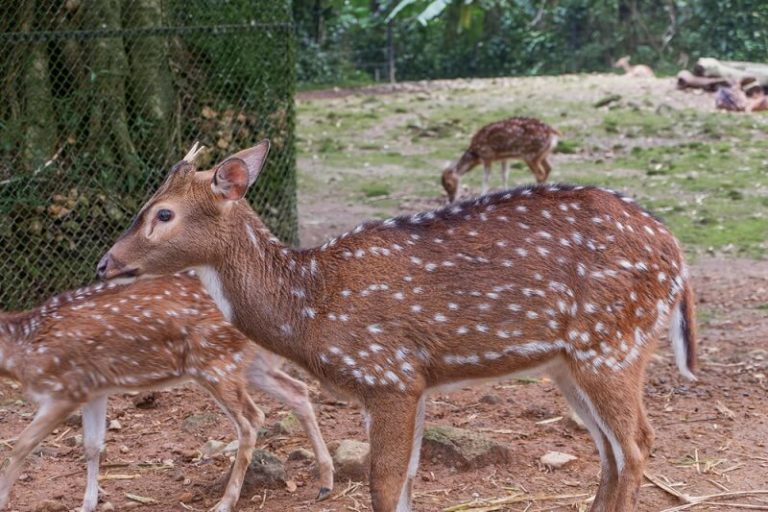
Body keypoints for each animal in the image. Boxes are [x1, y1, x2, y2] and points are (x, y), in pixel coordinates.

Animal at [0, 273, 333, 512]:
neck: (22, 351)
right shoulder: (93, 388)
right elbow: (92, 446)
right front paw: (86, 505)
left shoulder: (64, 389)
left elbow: (21, 444)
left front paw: (4, 500)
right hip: (249, 363)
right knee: (297, 390)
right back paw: (325, 483)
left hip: (215, 363)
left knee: (251, 420)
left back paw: (225, 502)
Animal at [97, 140, 697, 512]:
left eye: (163, 213)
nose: (104, 264)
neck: (310, 307)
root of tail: (678, 258)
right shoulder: (414, 383)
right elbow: (406, 480)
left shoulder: (387, 375)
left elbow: (383, 485)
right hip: (570, 364)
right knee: (612, 450)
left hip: (612, 345)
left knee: (637, 445)